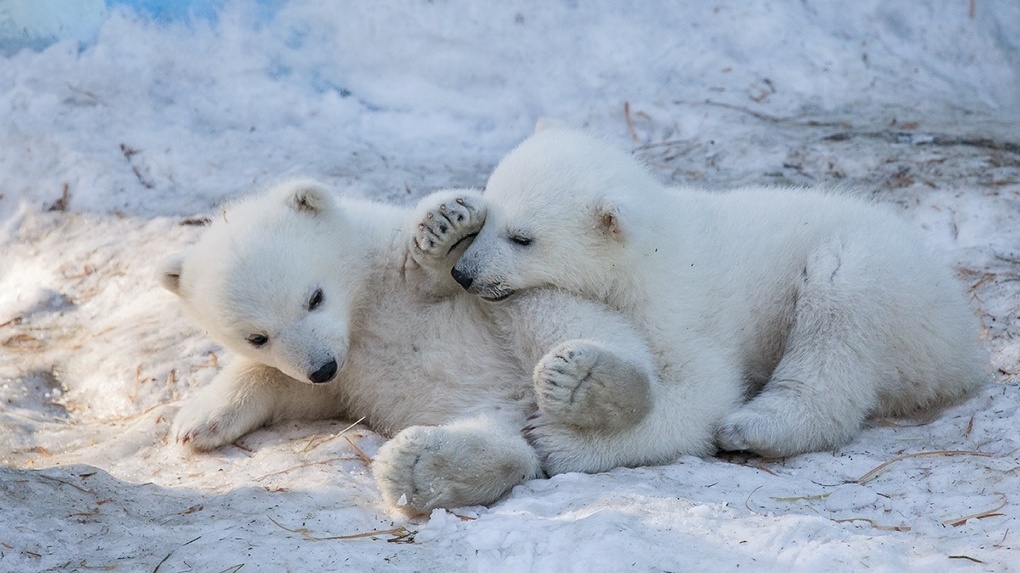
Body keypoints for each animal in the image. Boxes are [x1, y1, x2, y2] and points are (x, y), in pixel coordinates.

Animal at [160, 180, 660, 509]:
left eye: (314, 297)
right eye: (257, 336)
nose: (322, 366)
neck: (361, 308)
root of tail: (528, 405)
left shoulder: (398, 267)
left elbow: (438, 275)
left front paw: (445, 228)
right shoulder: (345, 375)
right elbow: (285, 383)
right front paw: (196, 422)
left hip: (523, 310)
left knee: (563, 321)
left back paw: (587, 381)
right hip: (491, 411)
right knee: (504, 445)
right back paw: (419, 468)